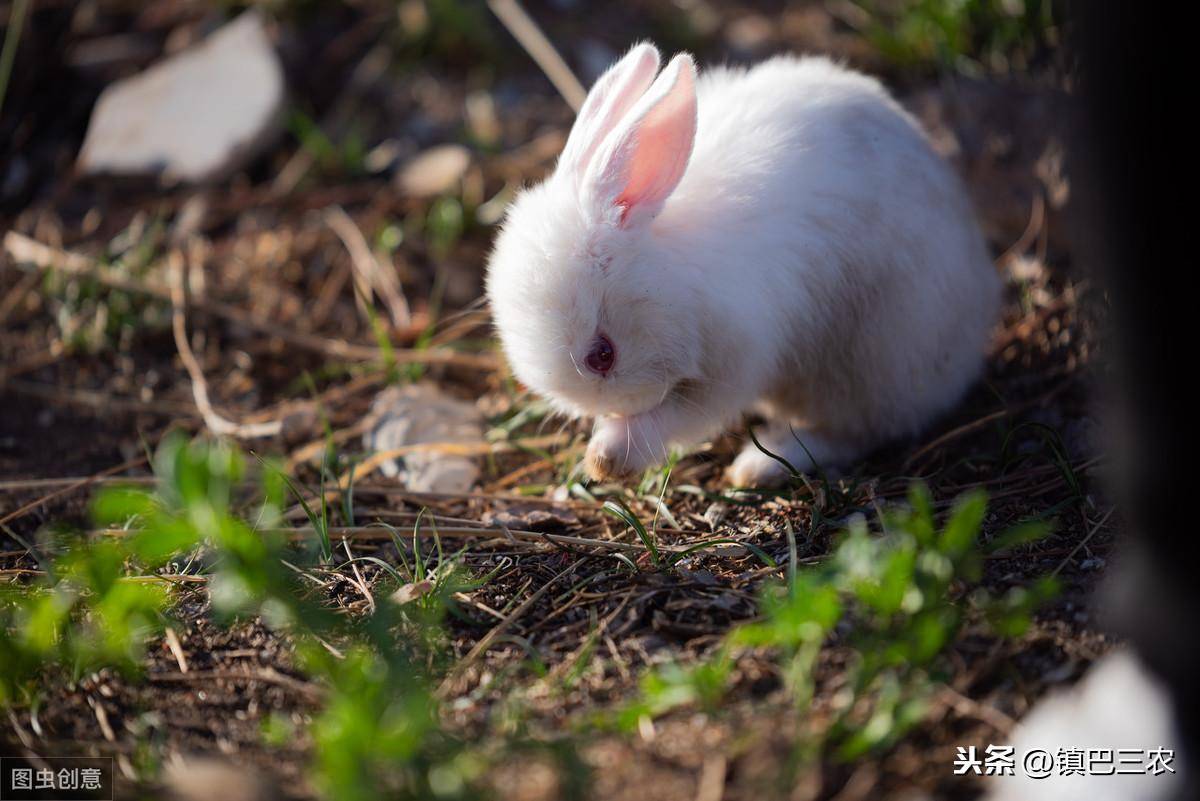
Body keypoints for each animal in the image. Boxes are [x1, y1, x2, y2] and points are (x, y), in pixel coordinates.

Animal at [482, 43, 998, 484]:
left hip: (867, 361)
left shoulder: (736, 360)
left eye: (602, 355)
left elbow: (683, 415)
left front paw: (607, 456)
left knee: (858, 431)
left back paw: (760, 465)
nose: (621, 407)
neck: (675, 276)